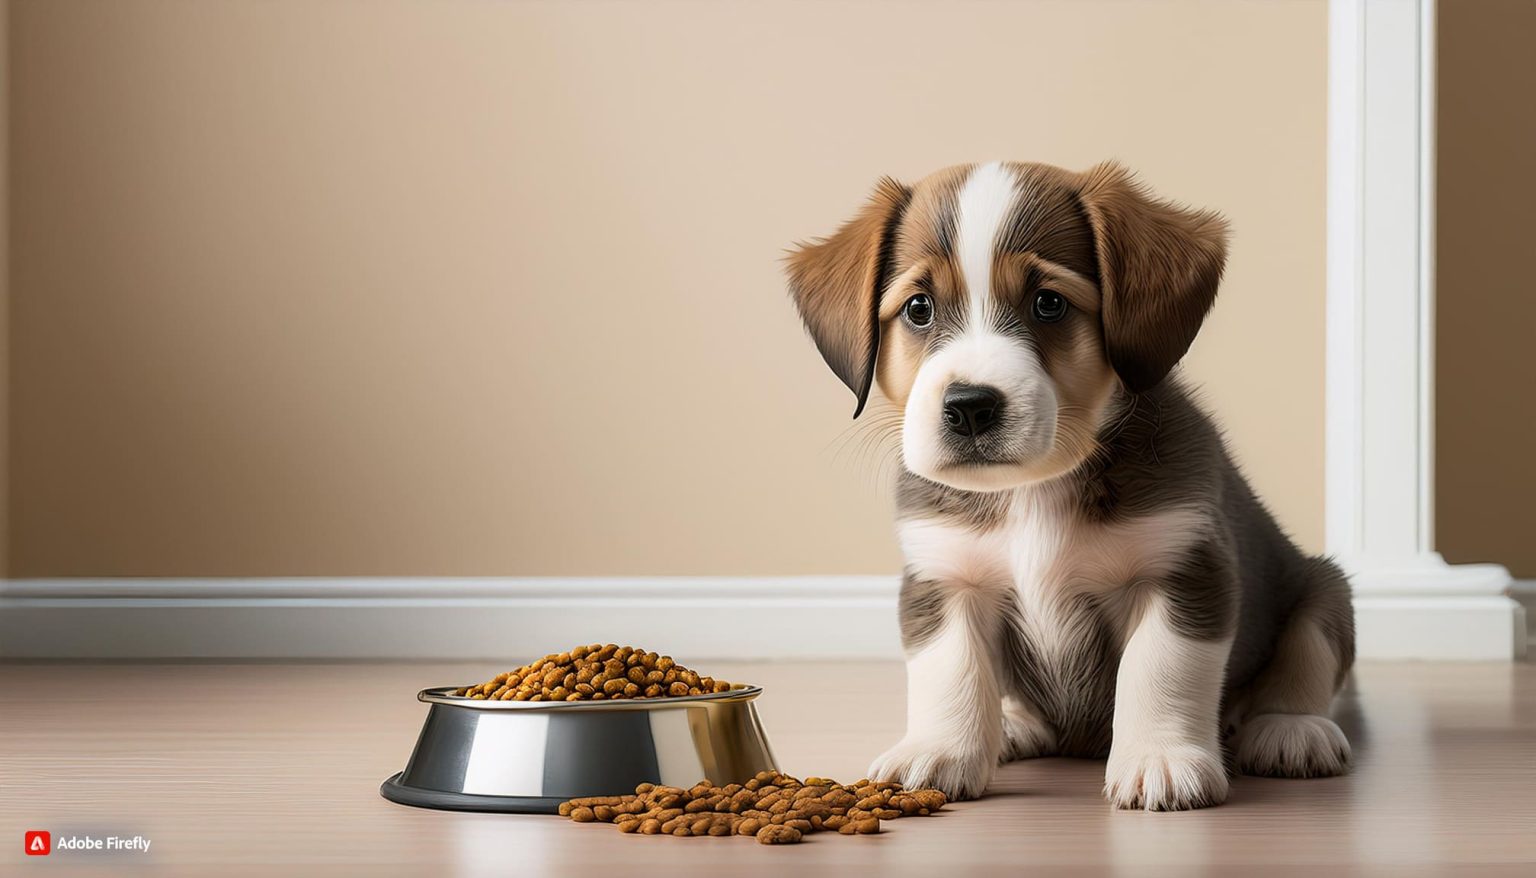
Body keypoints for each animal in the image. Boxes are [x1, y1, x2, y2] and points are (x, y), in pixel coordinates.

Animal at [786, 162, 1351, 810]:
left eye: (1048, 303)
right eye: (919, 308)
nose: (970, 407)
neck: (1031, 491)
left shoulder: (1185, 569)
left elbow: (1159, 668)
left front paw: (1158, 757)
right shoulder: (942, 577)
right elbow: (949, 670)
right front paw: (938, 748)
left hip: (1324, 589)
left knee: (1307, 659)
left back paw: (1290, 728)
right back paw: (1010, 724)